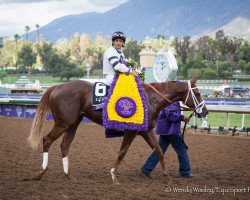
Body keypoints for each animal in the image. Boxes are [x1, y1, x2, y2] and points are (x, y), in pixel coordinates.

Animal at [27, 77, 208, 184]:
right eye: (198, 93)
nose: (205, 111)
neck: (150, 98)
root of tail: (57, 87)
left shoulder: (146, 131)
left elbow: (159, 150)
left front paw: (166, 175)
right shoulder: (132, 131)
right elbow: (122, 152)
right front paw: (113, 175)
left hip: (73, 124)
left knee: (64, 145)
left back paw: (68, 175)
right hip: (63, 123)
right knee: (47, 140)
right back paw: (41, 172)